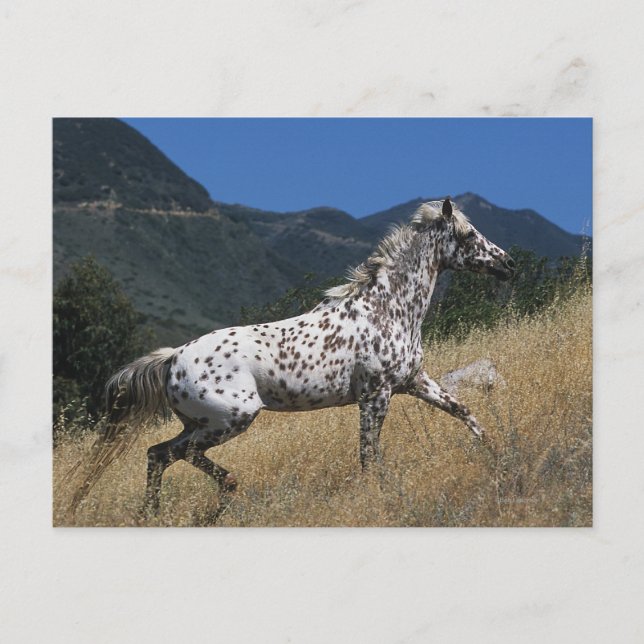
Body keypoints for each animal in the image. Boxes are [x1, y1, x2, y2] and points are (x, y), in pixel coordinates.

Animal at [70, 198, 515, 513]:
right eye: (469, 235)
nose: (508, 264)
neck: (388, 308)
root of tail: (172, 359)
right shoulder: (377, 395)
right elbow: (368, 454)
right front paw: (380, 493)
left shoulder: (413, 381)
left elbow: (463, 411)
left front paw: (496, 451)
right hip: (232, 419)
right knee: (176, 454)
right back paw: (225, 491)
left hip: (198, 422)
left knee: (156, 455)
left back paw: (155, 514)